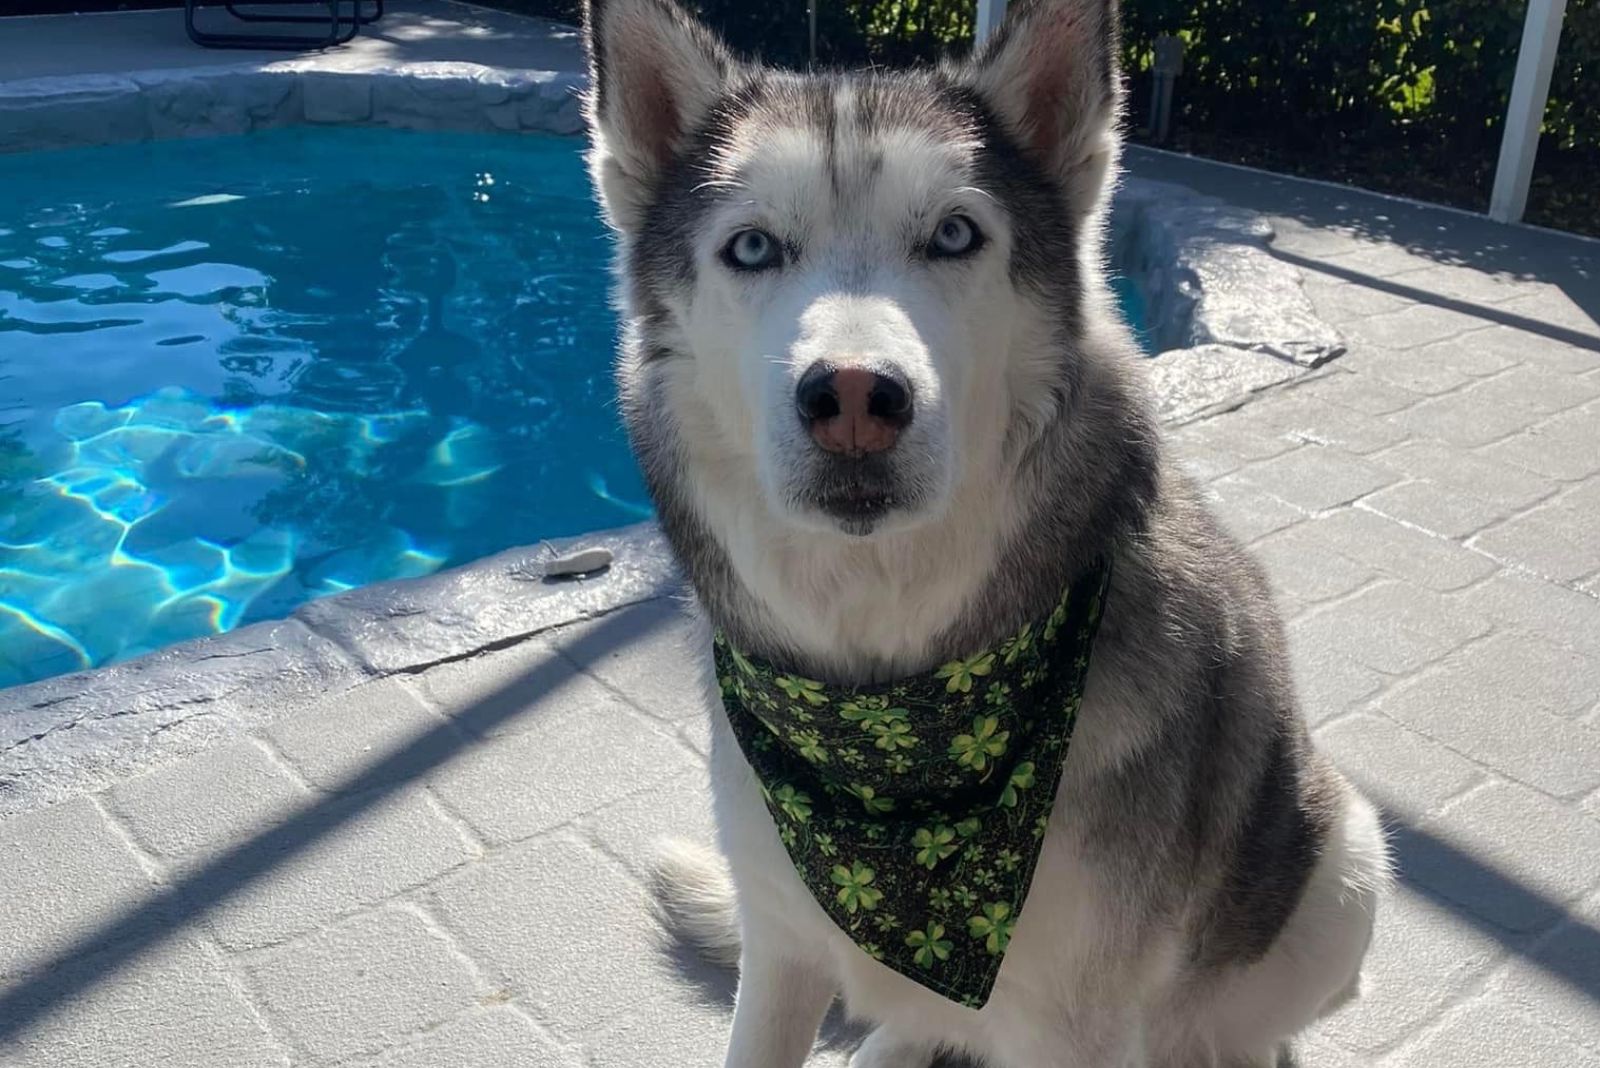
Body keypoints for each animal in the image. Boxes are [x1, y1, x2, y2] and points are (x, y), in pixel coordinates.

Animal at [585, 2, 1388, 1061]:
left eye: (955, 234)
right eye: (753, 250)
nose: (854, 399)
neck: (891, 708)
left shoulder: (1079, 1027)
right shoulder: (781, 949)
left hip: (1347, 862)